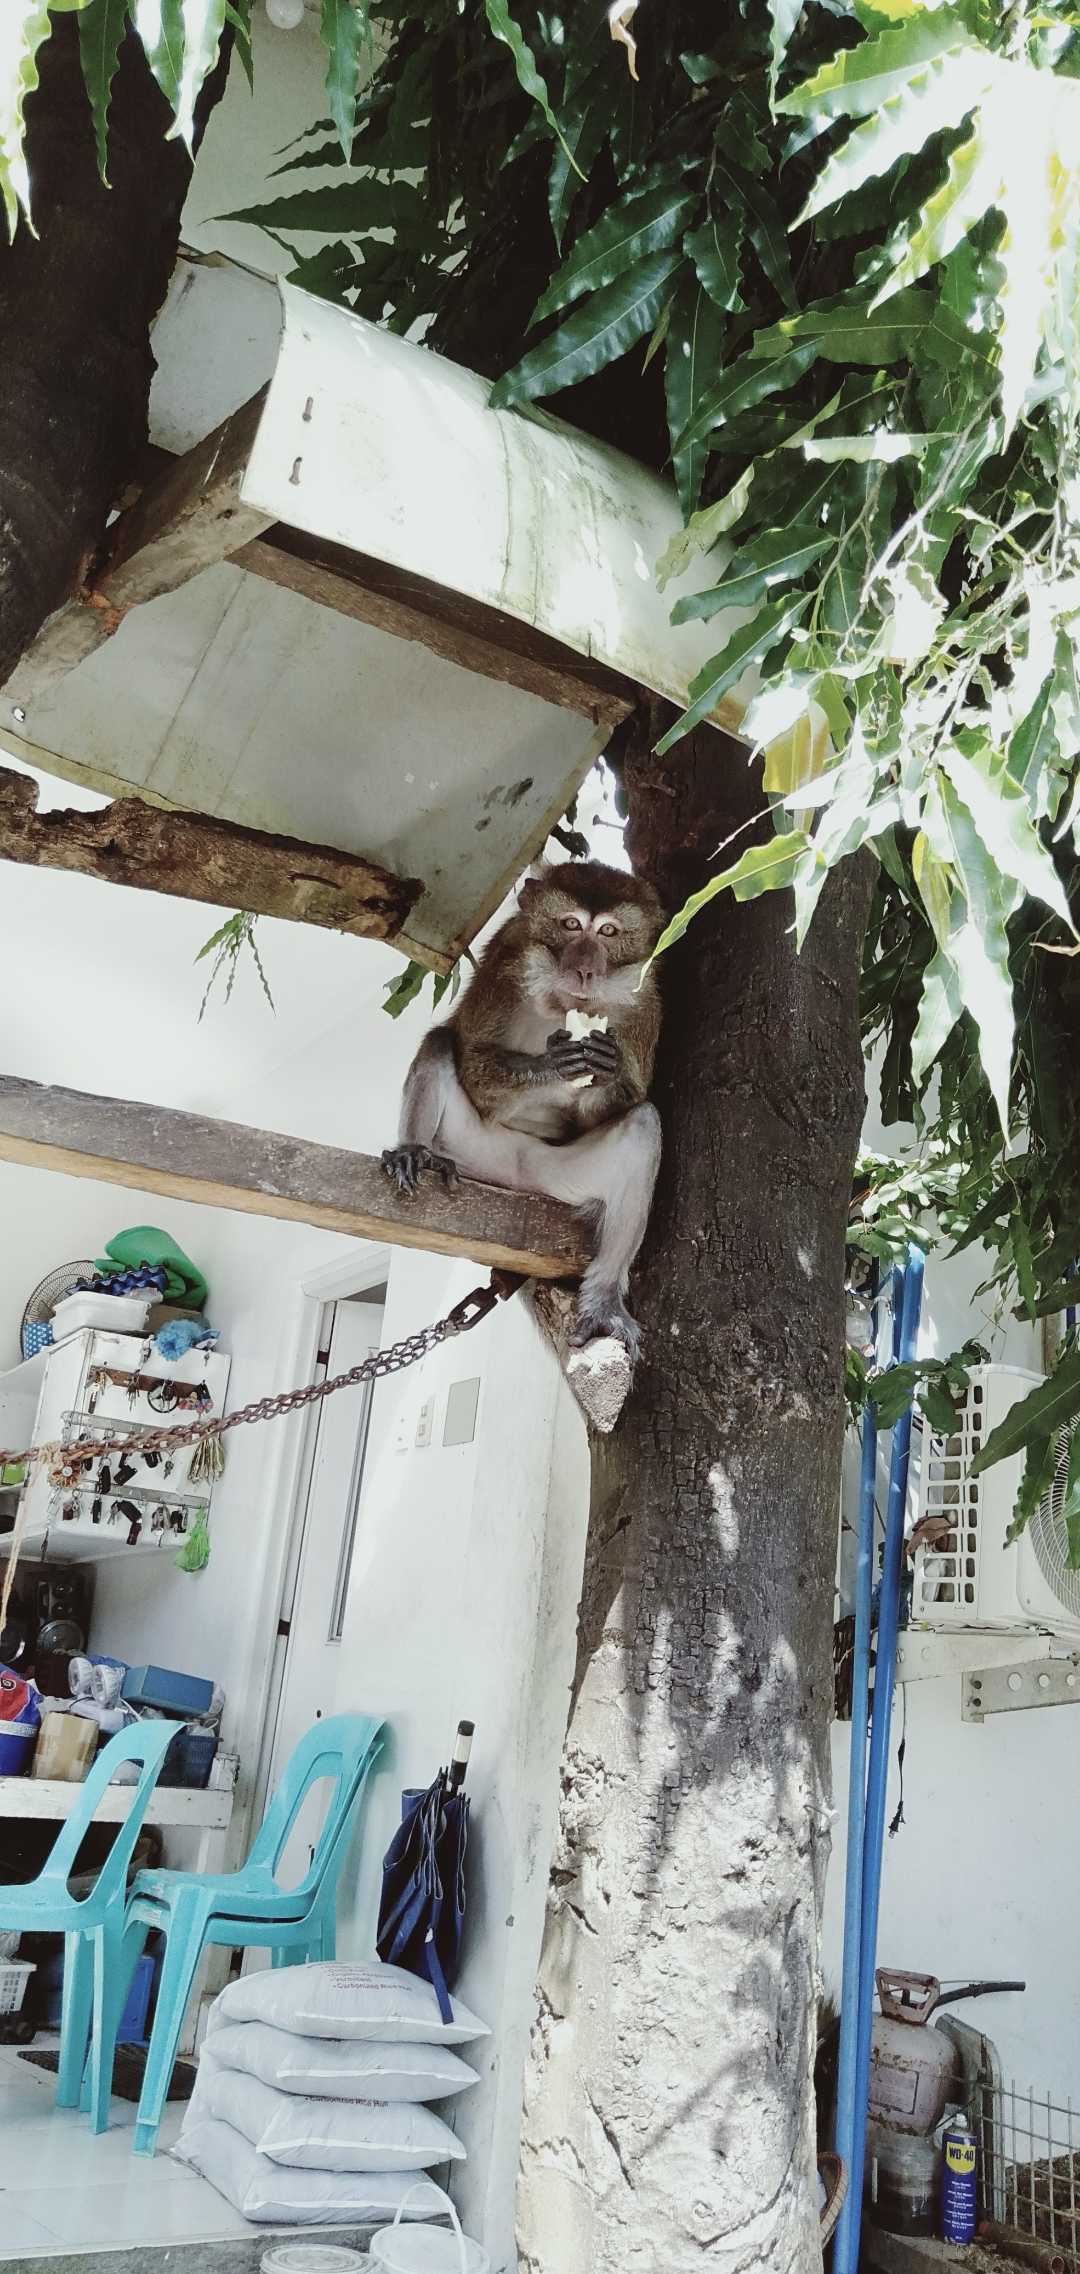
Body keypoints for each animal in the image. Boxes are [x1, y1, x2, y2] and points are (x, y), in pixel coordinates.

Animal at [382, 860, 665, 1361]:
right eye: (570, 924)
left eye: (608, 931)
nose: (585, 968)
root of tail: (516, 1175)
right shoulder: (506, 960)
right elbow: (474, 1062)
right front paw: (553, 1065)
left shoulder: (644, 999)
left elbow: (624, 1103)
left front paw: (607, 1069)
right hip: (472, 1151)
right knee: (440, 1041)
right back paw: (417, 1153)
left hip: (555, 1178)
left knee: (644, 1125)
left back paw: (604, 1301)